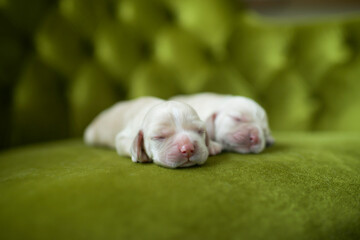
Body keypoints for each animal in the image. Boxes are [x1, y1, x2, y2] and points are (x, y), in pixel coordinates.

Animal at [84, 96, 221, 168]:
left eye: (200, 130)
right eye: (158, 137)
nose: (187, 148)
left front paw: (213, 145)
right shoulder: (122, 136)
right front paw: (141, 155)